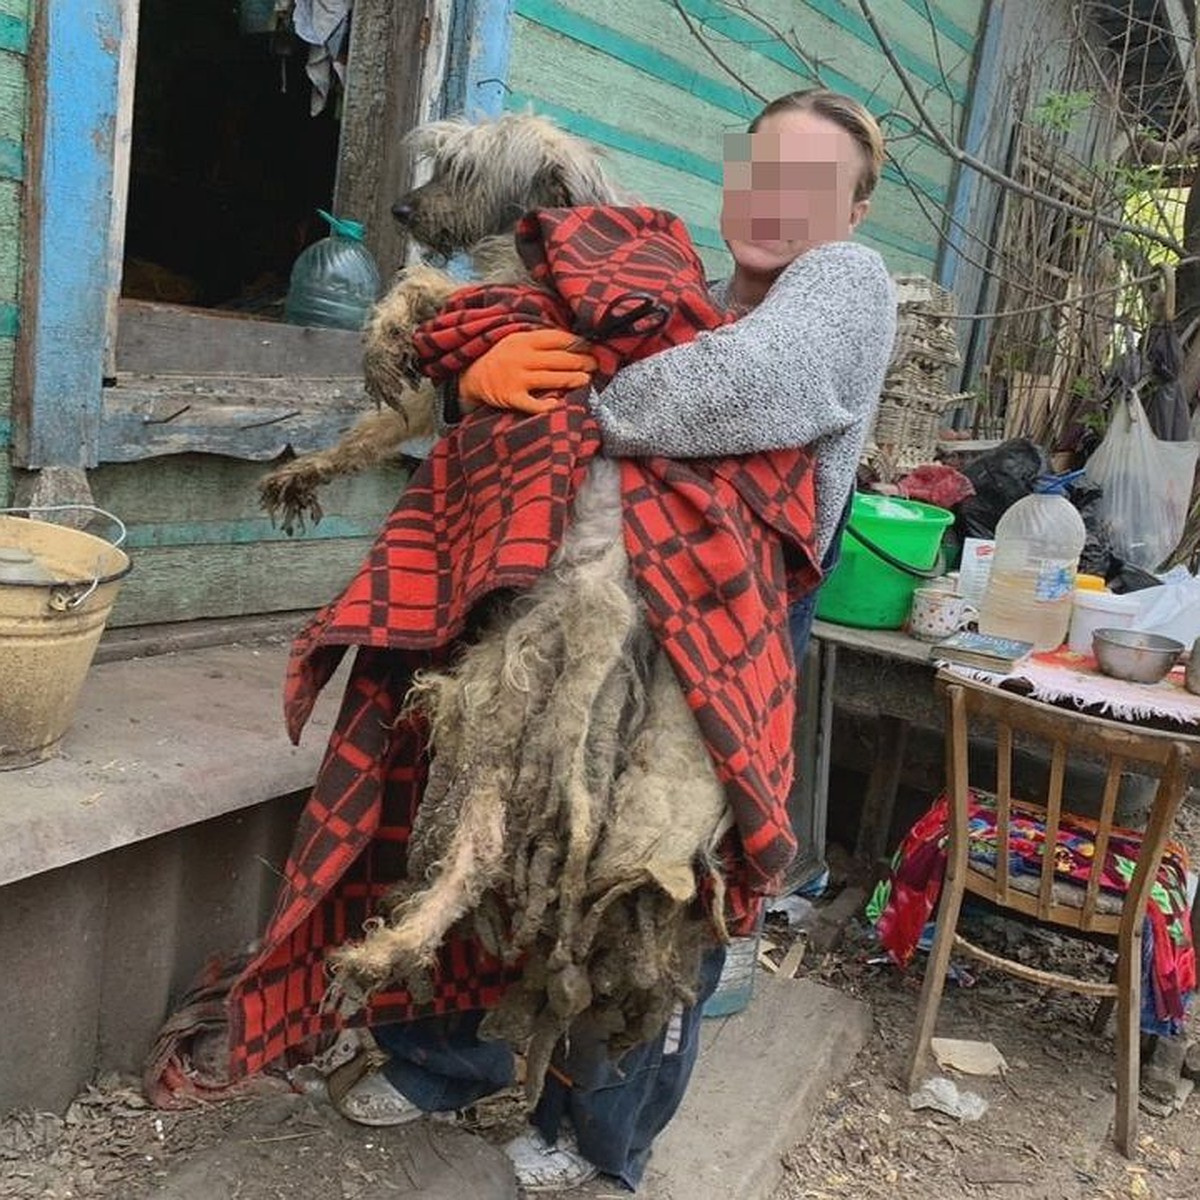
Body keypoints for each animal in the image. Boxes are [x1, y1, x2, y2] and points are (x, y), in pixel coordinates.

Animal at [259, 113, 624, 530]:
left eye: (466, 171)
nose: (399, 209)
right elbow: (386, 423)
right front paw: (311, 467)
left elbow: (419, 280)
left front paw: (384, 336)